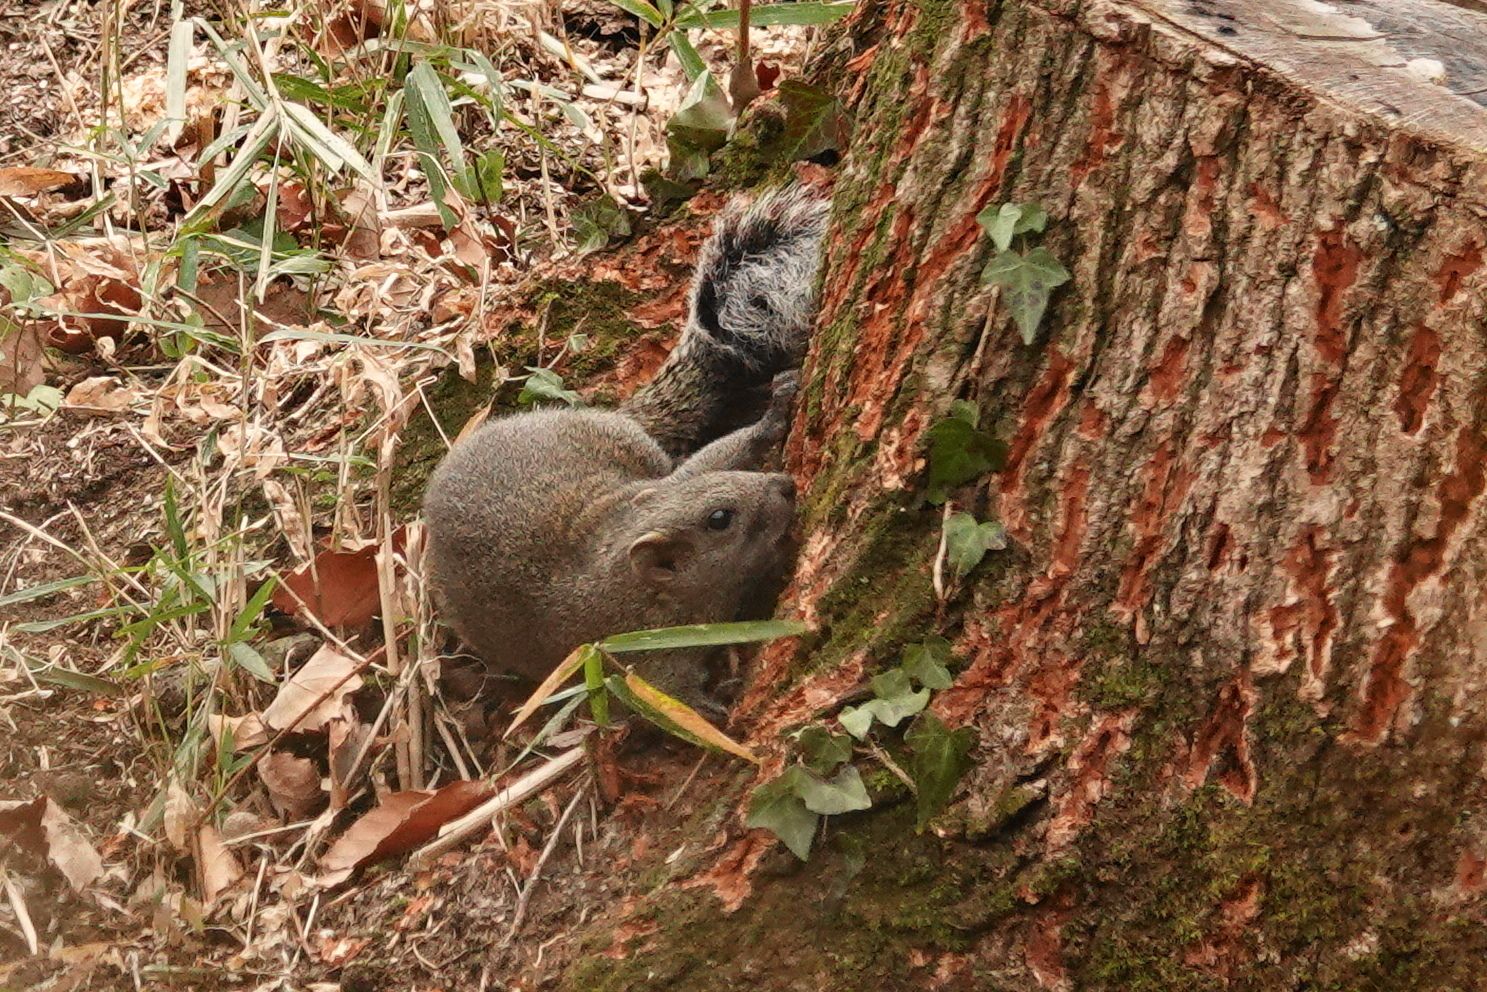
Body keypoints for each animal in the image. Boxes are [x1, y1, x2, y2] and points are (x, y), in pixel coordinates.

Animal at [425, 188, 832, 713]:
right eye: (719, 520)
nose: (784, 486)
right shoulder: (636, 655)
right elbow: (668, 704)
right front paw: (722, 703)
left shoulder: (670, 485)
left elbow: (717, 456)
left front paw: (774, 414)